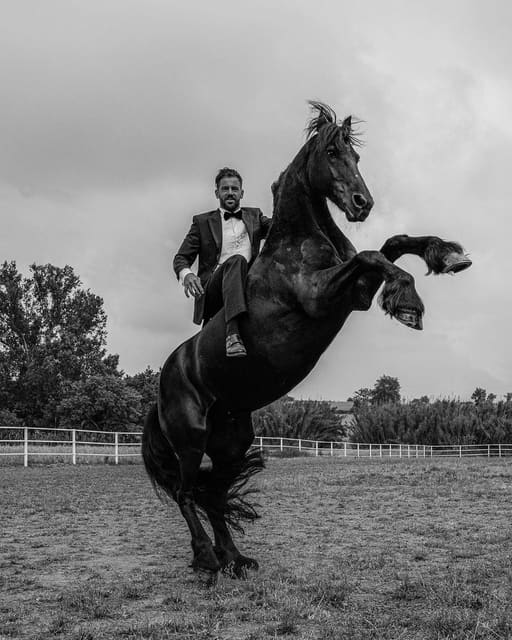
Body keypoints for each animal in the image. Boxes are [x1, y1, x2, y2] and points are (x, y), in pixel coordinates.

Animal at [142, 101, 471, 584]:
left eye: (357, 156)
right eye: (332, 152)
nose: (363, 204)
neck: (296, 243)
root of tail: (164, 382)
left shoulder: (355, 294)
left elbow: (387, 246)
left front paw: (446, 254)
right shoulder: (322, 296)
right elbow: (372, 254)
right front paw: (410, 304)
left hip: (230, 442)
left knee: (214, 495)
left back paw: (235, 559)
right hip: (190, 439)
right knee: (187, 494)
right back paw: (207, 559)